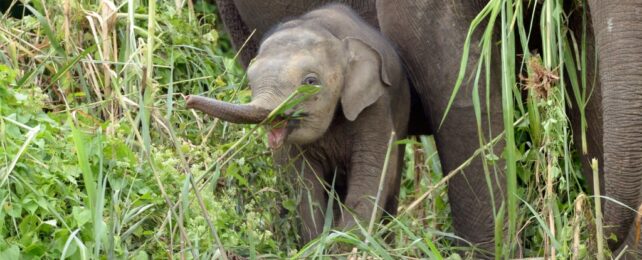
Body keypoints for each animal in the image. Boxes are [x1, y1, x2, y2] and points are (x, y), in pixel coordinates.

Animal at [185, 3, 408, 244]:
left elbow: (368, 177)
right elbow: (303, 184)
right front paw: (316, 243)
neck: (328, 32)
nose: (187, 99)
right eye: (250, 81)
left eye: (310, 82)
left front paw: (341, 244)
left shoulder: (375, 107)